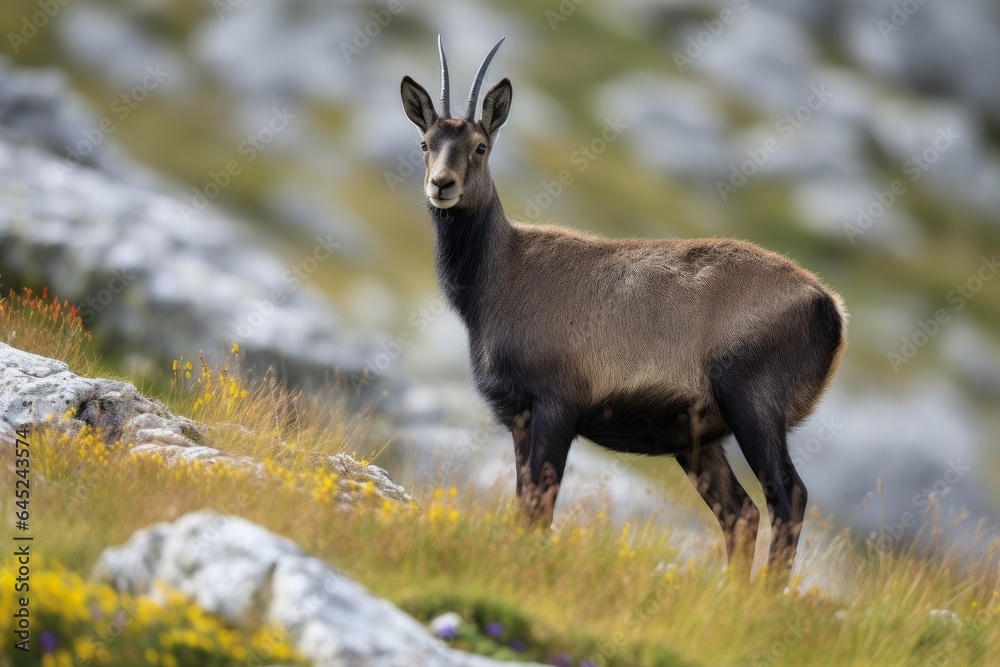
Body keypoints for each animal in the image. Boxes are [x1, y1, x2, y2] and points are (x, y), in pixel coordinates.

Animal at [400, 36, 847, 572]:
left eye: (480, 146)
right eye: (425, 143)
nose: (442, 185)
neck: (502, 276)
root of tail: (829, 306)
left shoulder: (558, 405)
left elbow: (539, 507)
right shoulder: (519, 417)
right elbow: (524, 503)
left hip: (753, 405)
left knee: (787, 495)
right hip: (698, 440)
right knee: (741, 513)